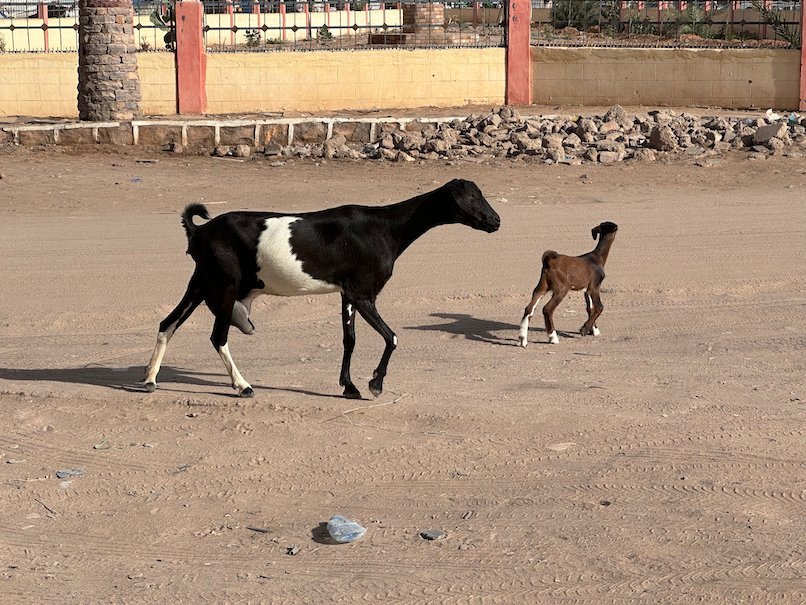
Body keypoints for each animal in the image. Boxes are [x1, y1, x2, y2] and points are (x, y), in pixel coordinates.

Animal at [144, 179, 501, 398]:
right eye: (470, 197)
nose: (496, 221)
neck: (386, 227)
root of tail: (199, 231)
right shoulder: (363, 292)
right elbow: (392, 337)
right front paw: (374, 384)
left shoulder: (347, 293)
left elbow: (349, 339)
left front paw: (349, 386)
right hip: (225, 284)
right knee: (217, 337)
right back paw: (243, 385)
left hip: (201, 282)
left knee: (167, 324)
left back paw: (149, 379)